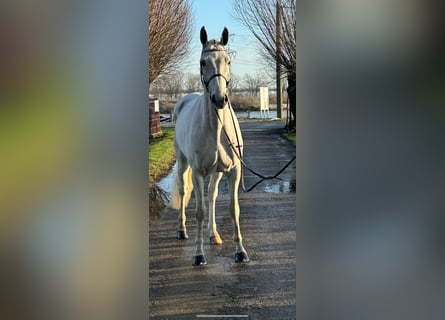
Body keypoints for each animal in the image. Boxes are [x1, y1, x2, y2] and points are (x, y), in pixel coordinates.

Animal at [170, 26, 248, 264]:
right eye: (203, 62)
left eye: (228, 61)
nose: (219, 99)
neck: (217, 129)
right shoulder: (197, 172)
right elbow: (199, 211)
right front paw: (198, 255)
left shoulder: (233, 171)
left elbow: (233, 209)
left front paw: (240, 252)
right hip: (183, 162)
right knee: (184, 191)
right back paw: (182, 230)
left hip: (217, 172)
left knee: (212, 195)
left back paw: (213, 234)